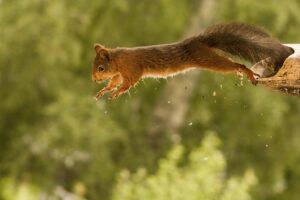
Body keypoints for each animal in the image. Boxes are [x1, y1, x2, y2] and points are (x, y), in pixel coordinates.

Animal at [91, 22, 292, 99]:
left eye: (101, 68)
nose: (93, 79)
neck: (118, 59)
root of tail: (197, 41)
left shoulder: (132, 68)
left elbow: (128, 83)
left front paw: (116, 93)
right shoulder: (120, 72)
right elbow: (115, 80)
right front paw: (105, 90)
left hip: (208, 59)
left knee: (235, 64)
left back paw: (248, 72)